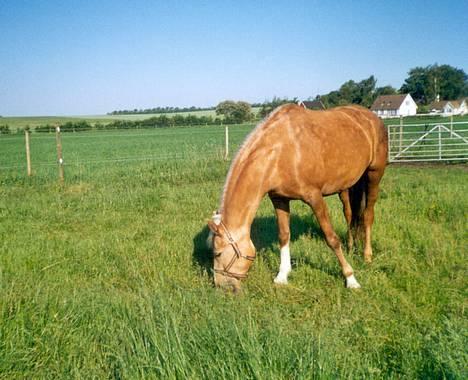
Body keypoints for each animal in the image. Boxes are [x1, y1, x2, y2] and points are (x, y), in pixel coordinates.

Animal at [208, 105, 388, 292]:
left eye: (217, 253)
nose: (221, 287)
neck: (280, 151)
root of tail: (372, 117)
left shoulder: (315, 198)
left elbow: (331, 239)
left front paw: (350, 278)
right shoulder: (279, 199)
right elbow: (284, 235)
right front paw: (282, 275)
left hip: (374, 174)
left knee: (368, 215)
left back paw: (367, 256)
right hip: (346, 186)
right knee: (350, 214)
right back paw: (351, 246)